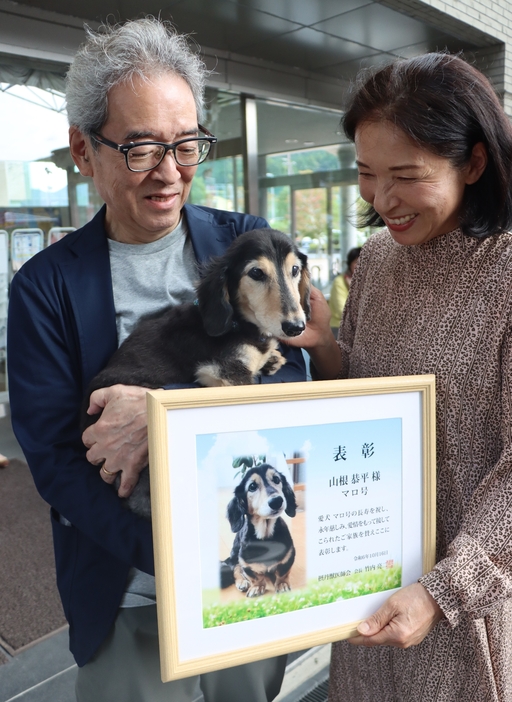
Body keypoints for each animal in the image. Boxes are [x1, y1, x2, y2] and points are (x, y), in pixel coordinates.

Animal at [84, 228, 310, 520]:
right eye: (256, 273)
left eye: (295, 269)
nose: (296, 327)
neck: (238, 322)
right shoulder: (223, 373)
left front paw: (272, 359)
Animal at [220, 468, 296, 600]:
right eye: (252, 486)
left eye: (276, 479)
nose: (277, 501)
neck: (265, 537)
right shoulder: (245, 562)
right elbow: (254, 577)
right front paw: (257, 587)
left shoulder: (289, 556)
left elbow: (283, 572)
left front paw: (282, 584)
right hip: (235, 553)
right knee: (235, 567)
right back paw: (242, 582)